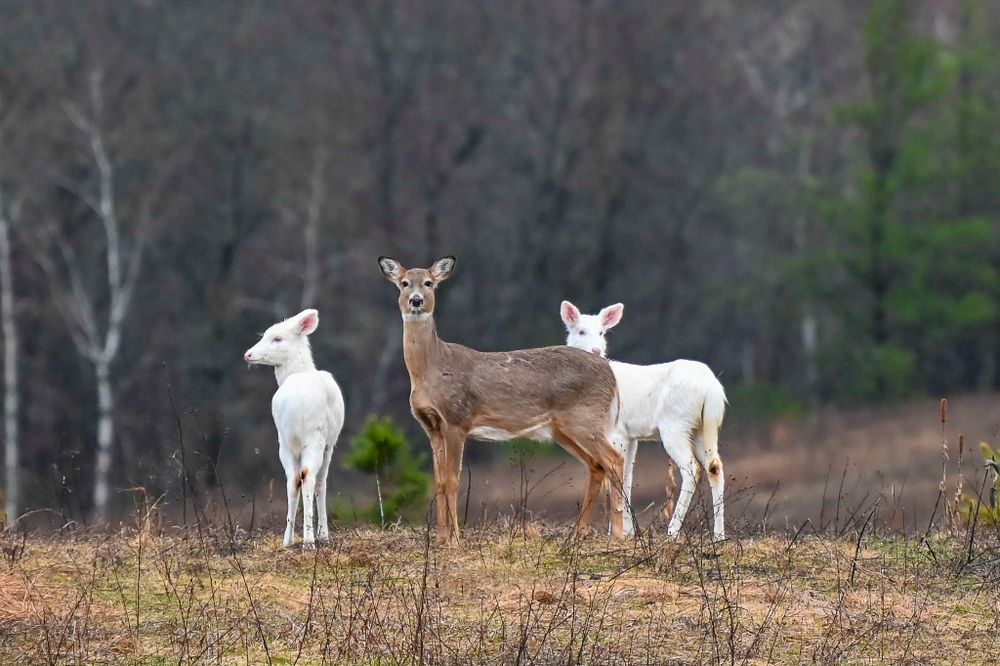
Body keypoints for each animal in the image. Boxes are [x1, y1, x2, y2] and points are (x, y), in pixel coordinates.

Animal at [244, 309, 345, 549]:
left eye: (277, 338)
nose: (248, 354)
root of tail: (295, 407)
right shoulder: (330, 444)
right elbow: (321, 484)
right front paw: (323, 534)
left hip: (285, 441)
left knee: (292, 481)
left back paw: (288, 540)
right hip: (315, 438)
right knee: (309, 478)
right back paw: (309, 540)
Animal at [378, 255, 627, 546]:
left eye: (429, 283)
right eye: (404, 283)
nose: (416, 300)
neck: (431, 370)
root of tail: (610, 371)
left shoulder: (457, 419)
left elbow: (452, 479)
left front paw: (455, 540)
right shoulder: (431, 427)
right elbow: (438, 481)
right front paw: (440, 539)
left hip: (585, 419)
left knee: (615, 460)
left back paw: (618, 534)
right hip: (563, 429)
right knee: (596, 466)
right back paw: (578, 533)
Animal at [560, 301, 727, 541]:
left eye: (601, 332)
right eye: (580, 331)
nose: (596, 350)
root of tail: (713, 389)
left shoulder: (616, 431)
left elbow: (617, 474)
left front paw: (616, 533)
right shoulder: (631, 436)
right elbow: (628, 475)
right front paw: (629, 533)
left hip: (675, 425)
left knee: (692, 469)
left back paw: (672, 532)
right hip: (703, 428)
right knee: (715, 467)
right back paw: (719, 536)